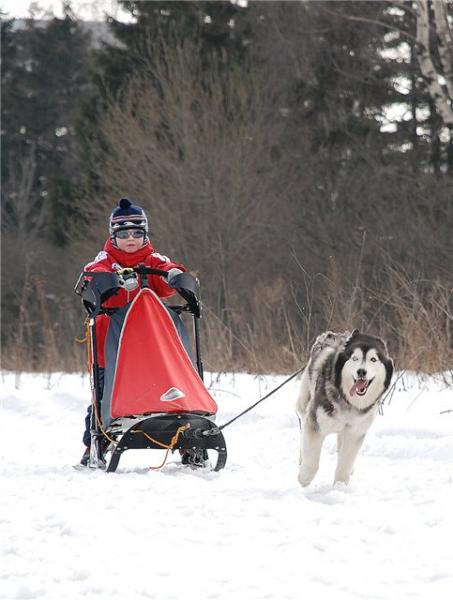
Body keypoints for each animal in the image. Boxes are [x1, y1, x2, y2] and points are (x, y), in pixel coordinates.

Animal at [296, 329, 393, 486]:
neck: (348, 401)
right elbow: (311, 460)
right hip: (304, 403)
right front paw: (304, 479)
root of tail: (331, 334)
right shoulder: (315, 424)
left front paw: (340, 486)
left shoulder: (354, 433)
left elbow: (344, 465)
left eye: (373, 359)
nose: (361, 372)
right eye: (354, 358)